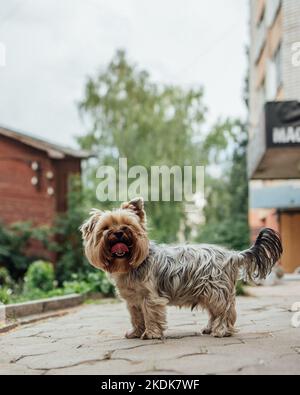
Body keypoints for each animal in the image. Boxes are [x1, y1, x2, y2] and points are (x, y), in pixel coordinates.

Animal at [81, 198, 282, 340]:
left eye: (128, 225)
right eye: (106, 228)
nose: (119, 232)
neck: (131, 264)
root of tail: (231, 255)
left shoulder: (150, 298)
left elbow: (150, 315)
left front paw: (151, 334)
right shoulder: (133, 301)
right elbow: (137, 317)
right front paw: (136, 333)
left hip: (216, 290)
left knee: (224, 311)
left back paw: (221, 331)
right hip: (208, 292)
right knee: (216, 311)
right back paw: (210, 328)